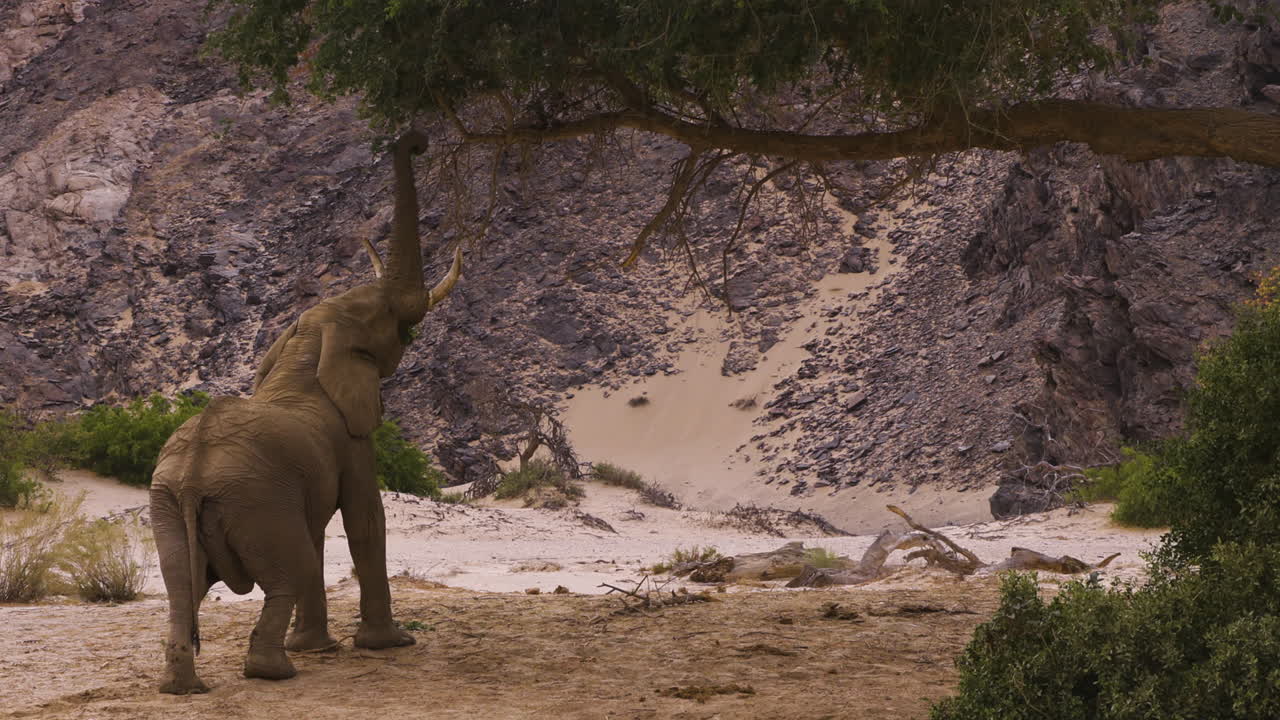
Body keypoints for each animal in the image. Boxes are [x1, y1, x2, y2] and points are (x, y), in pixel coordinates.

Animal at [148, 130, 460, 694]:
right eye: (390, 322)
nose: (417, 139)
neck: (308, 342)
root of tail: (194, 471)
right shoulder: (352, 438)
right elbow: (364, 518)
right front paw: (389, 645)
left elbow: (322, 532)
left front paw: (320, 647)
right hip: (255, 502)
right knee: (283, 575)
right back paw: (274, 671)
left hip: (169, 504)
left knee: (182, 588)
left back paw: (183, 687)